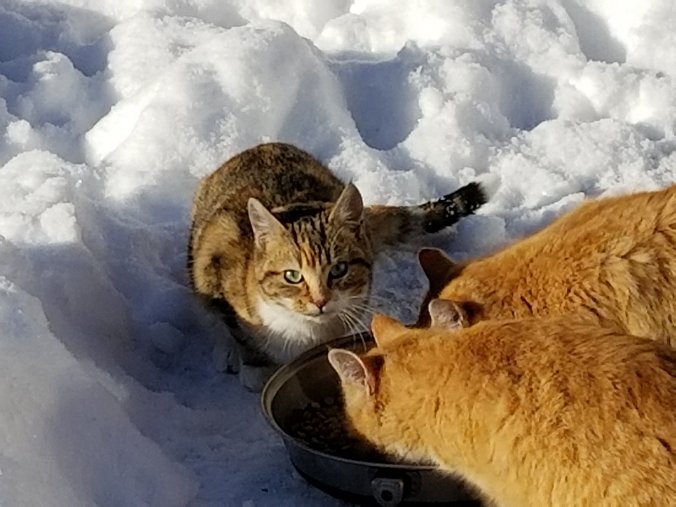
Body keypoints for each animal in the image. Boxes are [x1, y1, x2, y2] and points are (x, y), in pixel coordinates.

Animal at [188, 142, 487, 390]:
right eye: (292, 276)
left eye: (339, 269)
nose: (320, 301)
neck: (303, 329)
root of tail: (261, 147)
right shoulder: (218, 259)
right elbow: (237, 332)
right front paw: (253, 367)